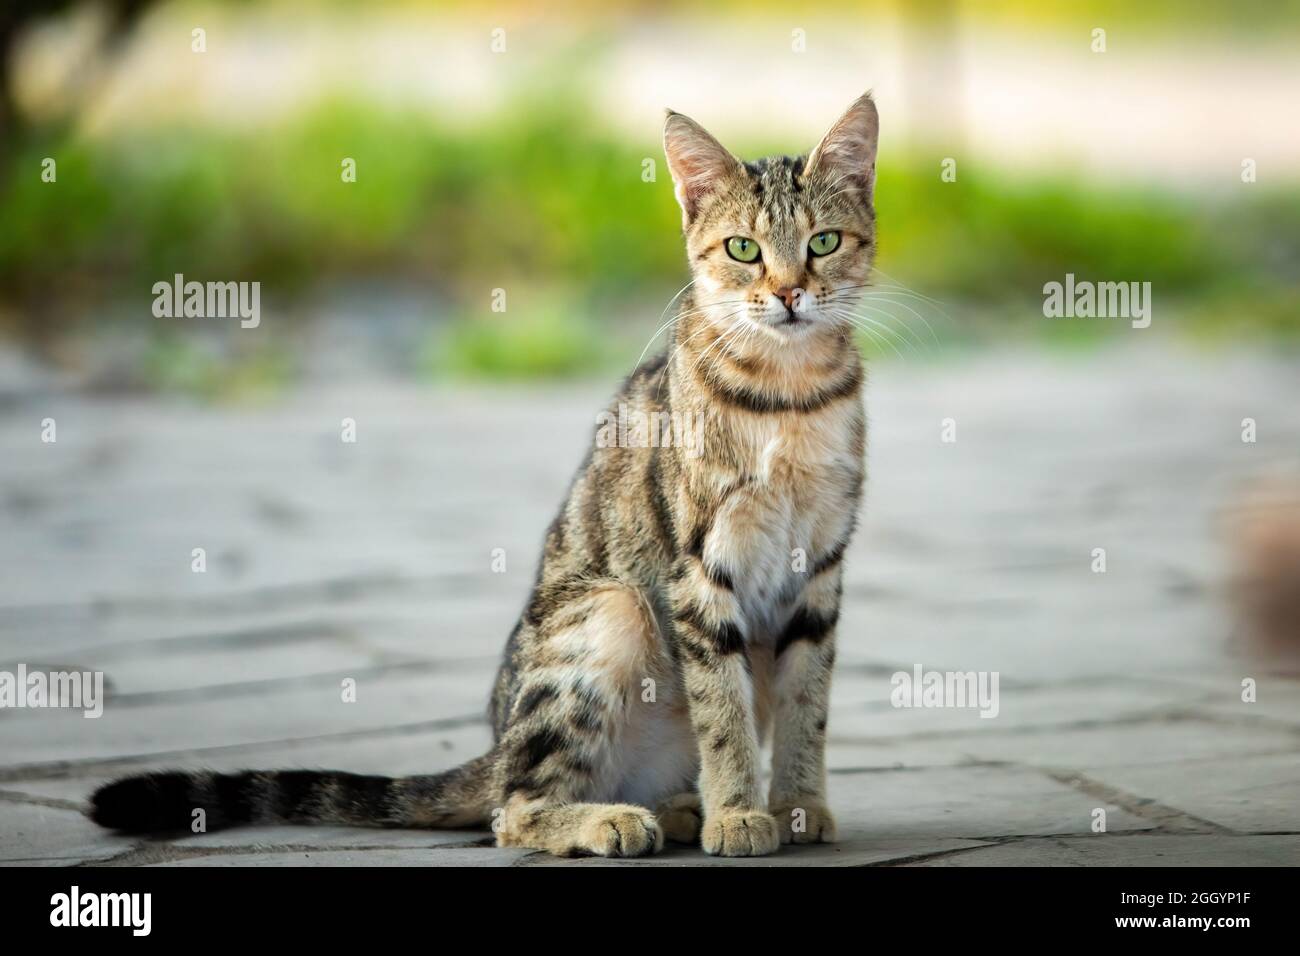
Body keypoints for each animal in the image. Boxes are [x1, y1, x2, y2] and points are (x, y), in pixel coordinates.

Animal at [86, 91, 878, 858]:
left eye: (824, 242)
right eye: (744, 249)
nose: (788, 293)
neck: (789, 396)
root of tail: (494, 746)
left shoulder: (820, 567)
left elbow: (806, 706)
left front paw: (798, 805)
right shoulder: (700, 568)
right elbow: (724, 711)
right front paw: (740, 813)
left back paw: (677, 808)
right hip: (610, 608)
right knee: (513, 810)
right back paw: (609, 820)